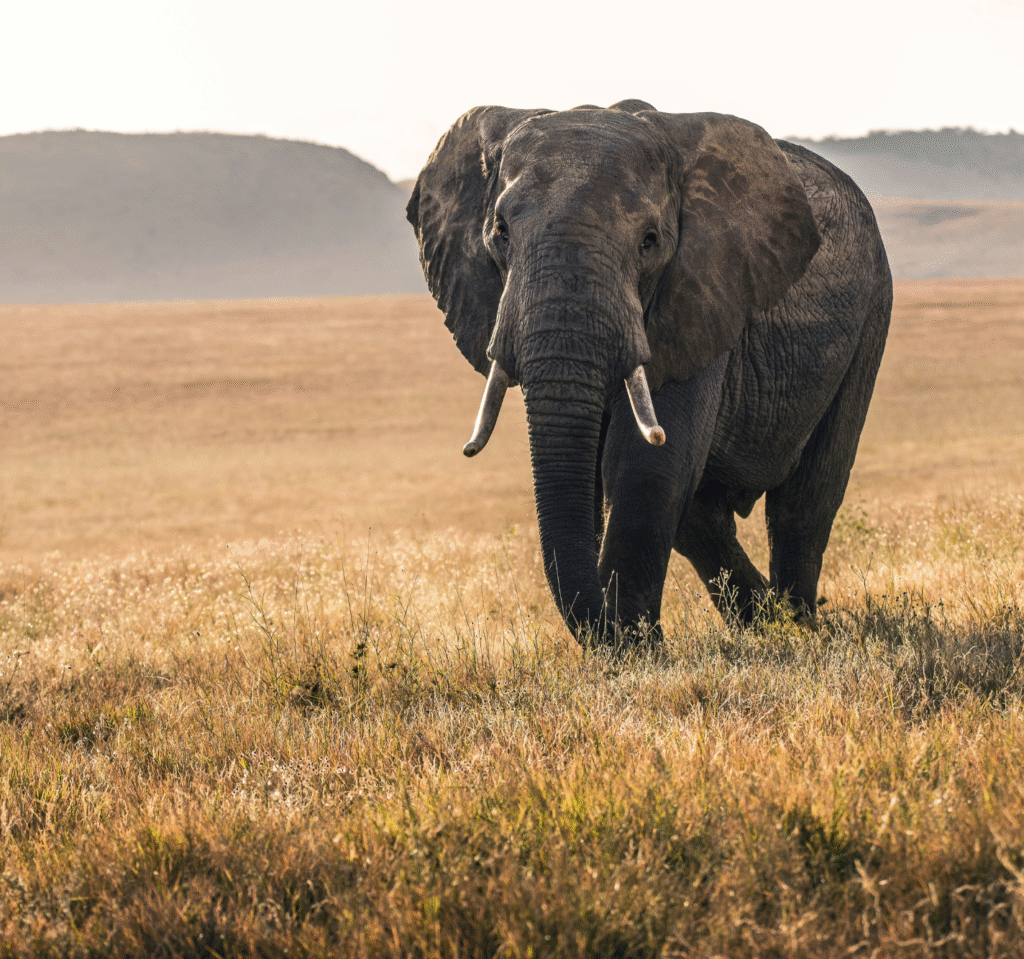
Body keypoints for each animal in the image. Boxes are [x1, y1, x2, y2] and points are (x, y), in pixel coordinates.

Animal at [407, 99, 891, 650]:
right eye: (500, 233)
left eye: (650, 241)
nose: (608, 631)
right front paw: (631, 645)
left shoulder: (700, 292)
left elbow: (646, 465)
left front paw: (637, 651)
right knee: (703, 517)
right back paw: (764, 623)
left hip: (873, 311)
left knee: (805, 501)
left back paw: (799, 628)